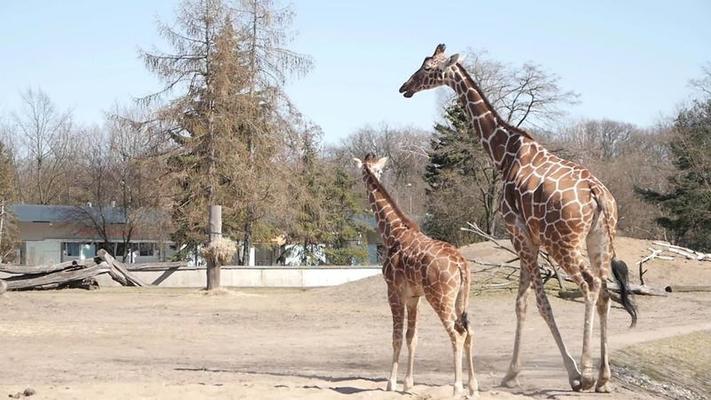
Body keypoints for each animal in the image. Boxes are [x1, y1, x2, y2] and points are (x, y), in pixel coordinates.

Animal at [354, 153, 478, 396]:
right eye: (377, 170)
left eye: (365, 171)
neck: (393, 233)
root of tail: (461, 263)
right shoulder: (414, 296)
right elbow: (412, 336)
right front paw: (408, 383)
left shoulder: (393, 291)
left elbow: (396, 337)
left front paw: (391, 383)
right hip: (460, 298)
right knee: (469, 331)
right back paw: (472, 387)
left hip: (440, 298)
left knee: (457, 333)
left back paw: (457, 387)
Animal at [398, 43, 636, 390]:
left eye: (428, 69)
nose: (405, 87)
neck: (504, 153)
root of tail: (597, 193)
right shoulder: (528, 239)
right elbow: (521, 304)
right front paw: (511, 373)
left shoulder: (518, 233)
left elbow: (540, 304)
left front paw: (571, 372)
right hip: (600, 240)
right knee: (605, 290)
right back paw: (604, 377)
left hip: (564, 243)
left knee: (590, 285)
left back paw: (588, 373)